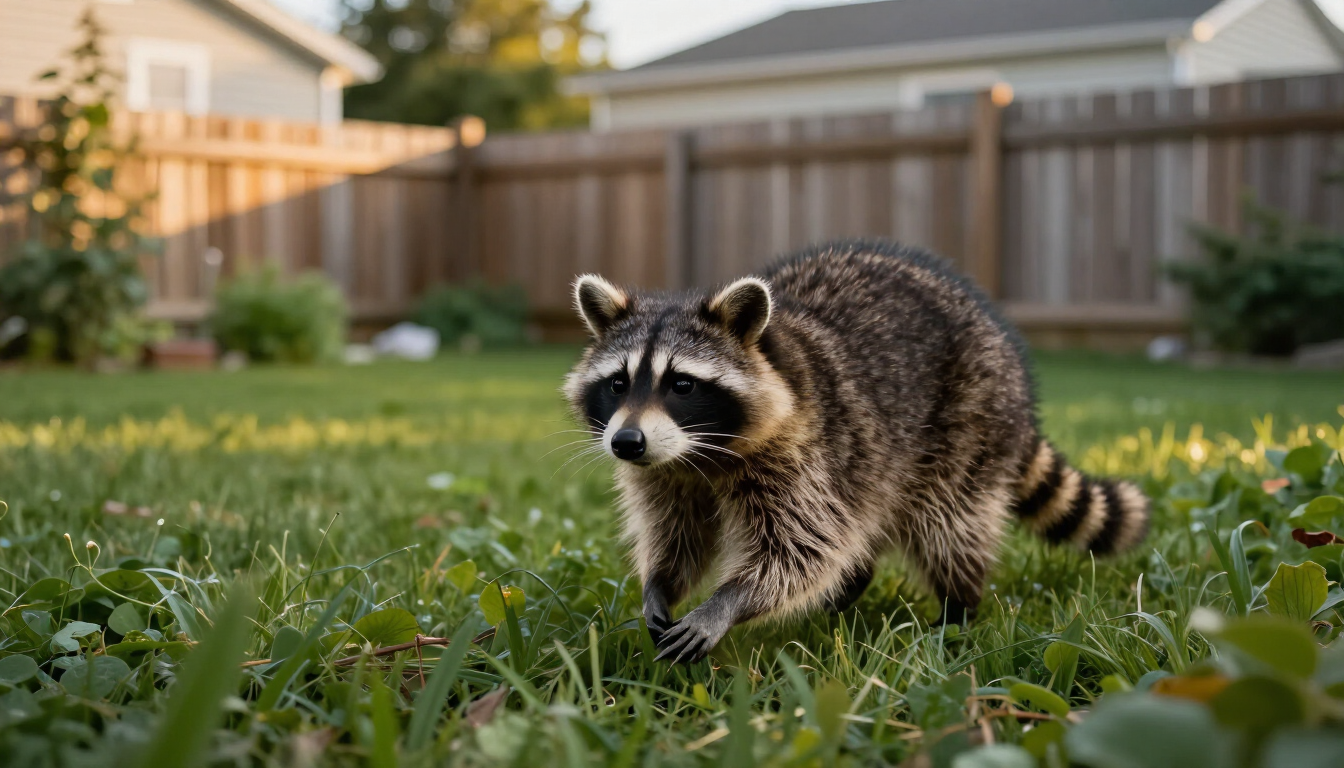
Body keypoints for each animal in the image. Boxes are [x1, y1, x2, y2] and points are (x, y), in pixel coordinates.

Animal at [563, 240, 1149, 664]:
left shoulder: (804, 455)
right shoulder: (667, 476)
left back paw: (958, 608)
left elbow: (801, 549)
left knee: (949, 523)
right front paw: (659, 585)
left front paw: (727, 603)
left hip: (968, 427)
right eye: (618, 384)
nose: (626, 442)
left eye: (682, 385)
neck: (698, 456)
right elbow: (677, 536)